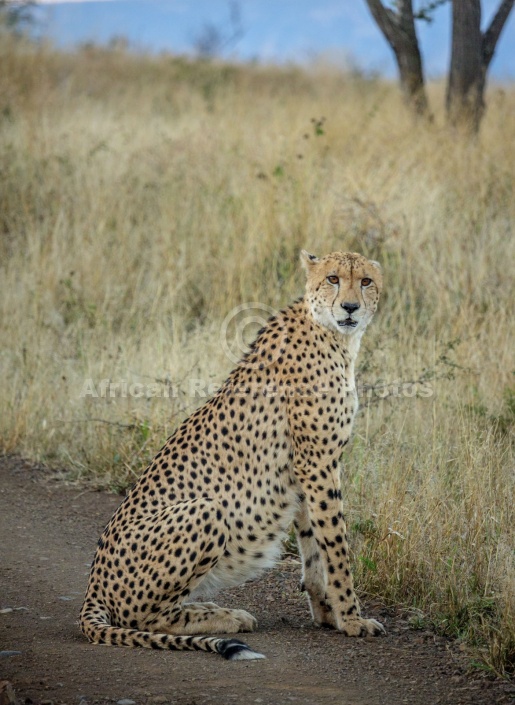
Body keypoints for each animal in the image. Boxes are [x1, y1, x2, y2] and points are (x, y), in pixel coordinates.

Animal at [80, 250, 384, 656]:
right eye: (333, 278)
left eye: (365, 281)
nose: (350, 307)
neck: (333, 334)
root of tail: (92, 585)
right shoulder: (318, 462)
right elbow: (336, 546)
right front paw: (351, 619)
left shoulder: (306, 469)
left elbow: (313, 544)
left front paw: (326, 613)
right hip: (206, 511)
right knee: (146, 618)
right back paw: (226, 616)